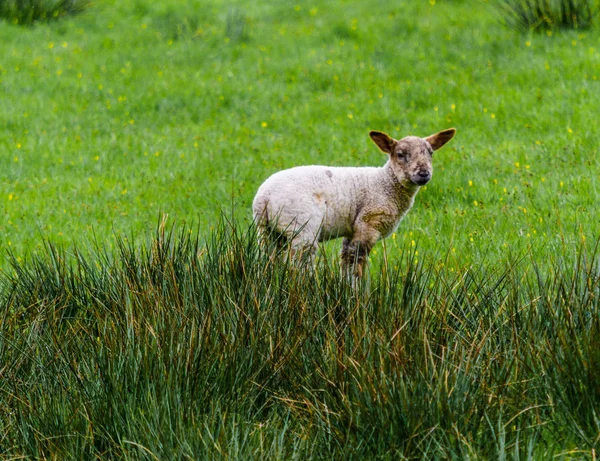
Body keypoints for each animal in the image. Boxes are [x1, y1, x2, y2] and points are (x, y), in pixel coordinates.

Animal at [252, 127, 454, 274]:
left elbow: (346, 264)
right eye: (401, 154)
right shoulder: (368, 225)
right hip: (301, 227)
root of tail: (264, 197)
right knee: (297, 266)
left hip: (268, 232)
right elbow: (357, 267)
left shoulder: (352, 231)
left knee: (269, 261)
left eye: (430, 153)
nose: (423, 173)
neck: (385, 184)